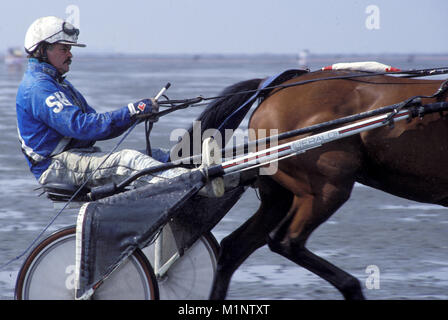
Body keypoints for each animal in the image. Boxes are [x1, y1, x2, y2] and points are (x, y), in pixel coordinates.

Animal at [183, 68, 448, 300]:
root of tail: (275, 89)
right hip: (326, 189)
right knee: (286, 241)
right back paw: (351, 287)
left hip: (281, 197)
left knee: (234, 247)